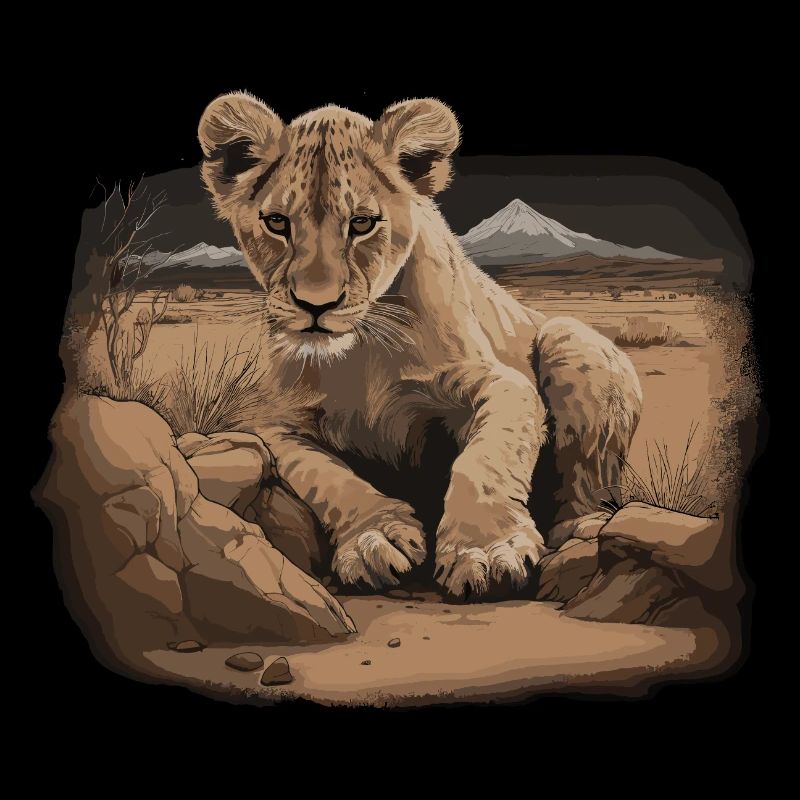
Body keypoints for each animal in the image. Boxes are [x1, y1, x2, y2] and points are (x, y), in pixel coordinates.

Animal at [197, 92, 643, 600]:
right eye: (276, 223)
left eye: (362, 223)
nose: (316, 304)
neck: (360, 353)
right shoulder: (275, 423)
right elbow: (324, 475)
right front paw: (373, 538)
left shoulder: (500, 383)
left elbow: (486, 457)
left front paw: (486, 549)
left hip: (570, 338)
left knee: (589, 486)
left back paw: (579, 533)